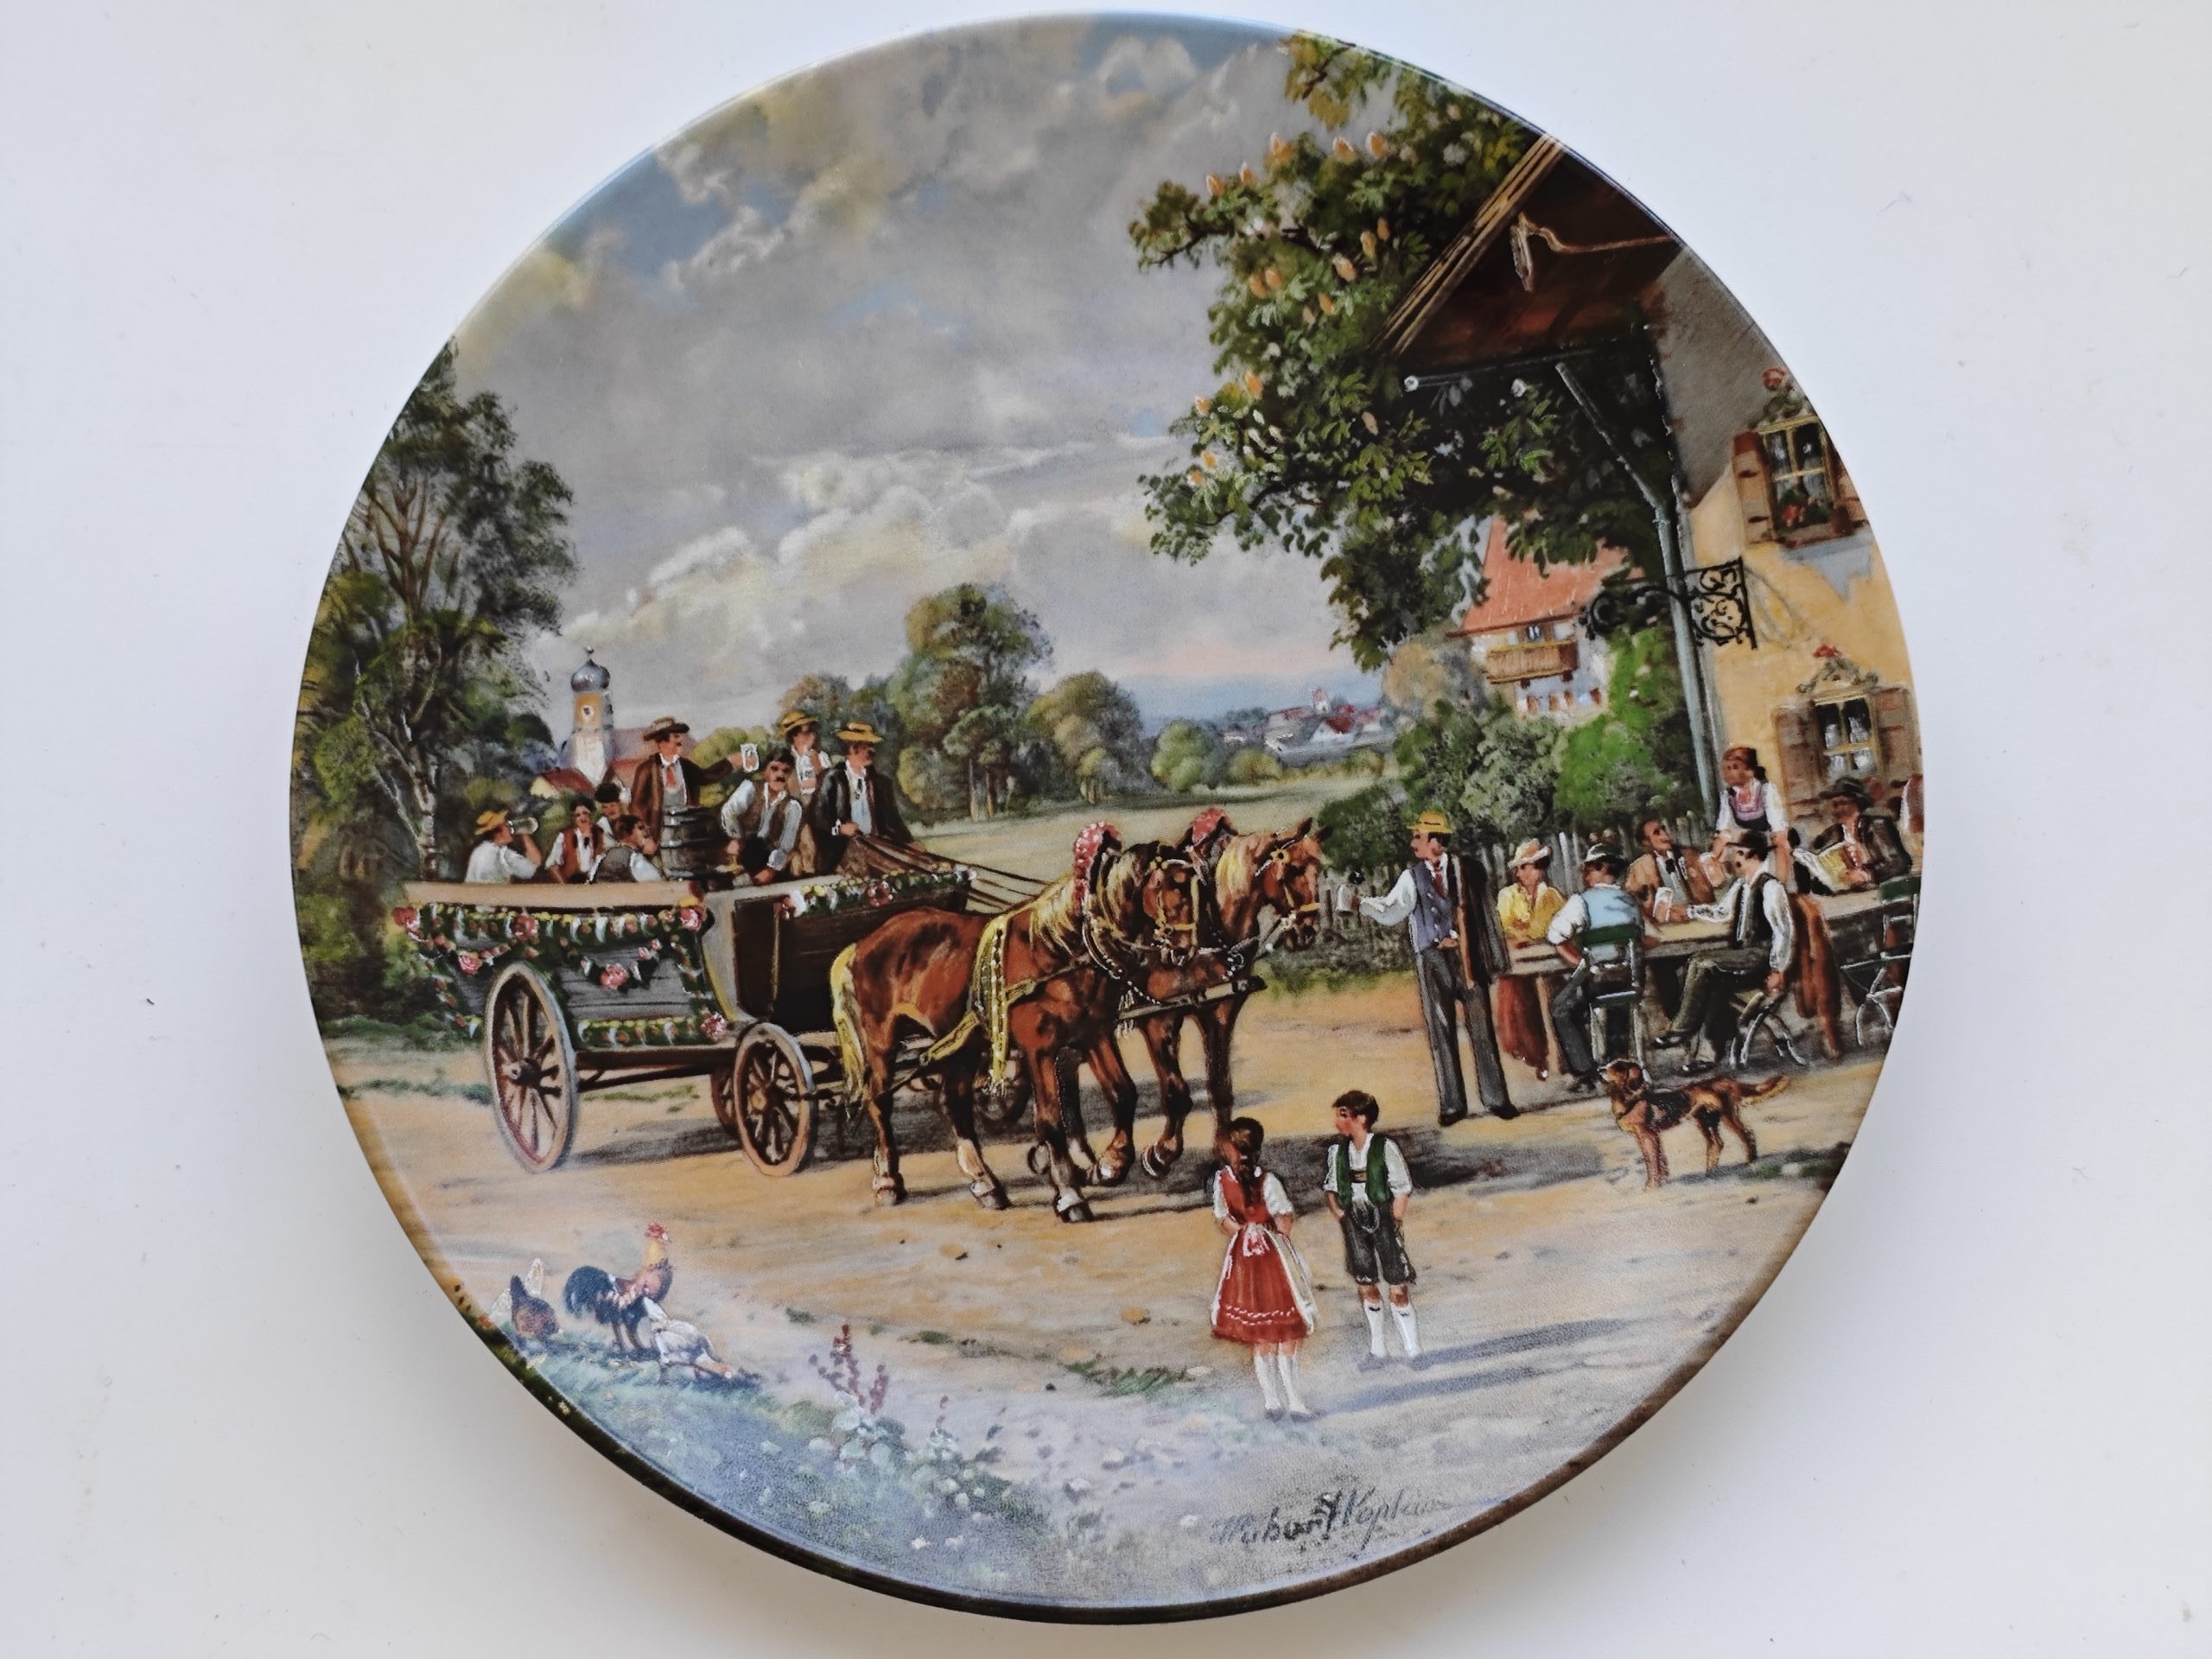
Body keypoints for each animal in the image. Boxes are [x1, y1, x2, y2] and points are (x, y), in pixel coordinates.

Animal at [829, 835, 1200, 1222]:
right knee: (879, 1102)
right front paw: (1070, 1194)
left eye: (1193, 884)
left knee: (952, 1103)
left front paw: (1111, 1164)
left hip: (962, 1046)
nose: (1184, 950)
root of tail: (860, 945)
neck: (1058, 950)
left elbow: (1123, 1094)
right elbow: (1051, 1120)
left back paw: (985, 1183)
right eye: (1164, 884)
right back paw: (887, 1180)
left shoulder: (1094, 1034)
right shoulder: (1040, 1050)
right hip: (882, 1044)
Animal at [1596, 1059, 1784, 1188]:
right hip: (1705, 1121)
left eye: (1619, 1067)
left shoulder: (1647, 1135)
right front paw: (1663, 1181)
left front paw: (1652, 1186)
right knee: (1717, 1143)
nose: (1599, 1070)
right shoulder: (1648, 1137)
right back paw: (1710, 1172)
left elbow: (1652, 1162)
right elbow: (1658, 1159)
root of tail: (1725, 1080)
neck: (1632, 1099)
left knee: (1746, 1133)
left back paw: (1751, 1161)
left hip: (1727, 1116)